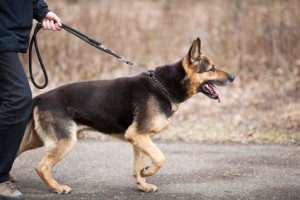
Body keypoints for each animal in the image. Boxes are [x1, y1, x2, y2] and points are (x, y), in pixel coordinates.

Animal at [14, 38, 234, 194]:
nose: (233, 77)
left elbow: (138, 166)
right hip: (65, 142)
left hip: (38, 140)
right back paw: (57, 187)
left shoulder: (139, 139)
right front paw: (148, 172)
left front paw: (142, 184)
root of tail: (40, 97)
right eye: (212, 68)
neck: (165, 85)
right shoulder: (138, 136)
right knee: (41, 167)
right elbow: (160, 158)